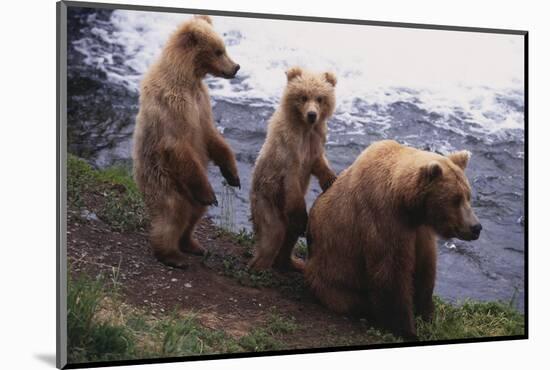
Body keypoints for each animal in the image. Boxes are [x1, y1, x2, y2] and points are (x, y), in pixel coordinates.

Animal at [133, 15, 242, 268]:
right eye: (218, 51)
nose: (235, 67)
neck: (188, 77)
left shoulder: (201, 103)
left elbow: (212, 136)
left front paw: (233, 175)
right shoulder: (173, 105)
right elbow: (177, 144)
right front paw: (211, 193)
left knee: (195, 214)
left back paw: (192, 245)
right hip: (165, 180)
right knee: (173, 215)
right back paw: (172, 255)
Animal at [251, 66, 338, 270]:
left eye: (320, 98)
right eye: (303, 96)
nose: (312, 115)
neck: (305, 128)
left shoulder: (314, 142)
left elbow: (318, 163)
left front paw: (331, 179)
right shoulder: (288, 151)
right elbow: (292, 183)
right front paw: (301, 216)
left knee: (289, 236)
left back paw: (291, 262)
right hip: (267, 200)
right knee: (273, 233)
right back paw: (259, 265)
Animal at [306, 139, 484, 338]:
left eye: (468, 196)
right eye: (455, 199)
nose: (476, 227)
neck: (407, 205)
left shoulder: (420, 231)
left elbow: (425, 268)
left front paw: (429, 316)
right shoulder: (384, 219)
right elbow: (391, 274)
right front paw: (407, 330)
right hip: (334, 278)